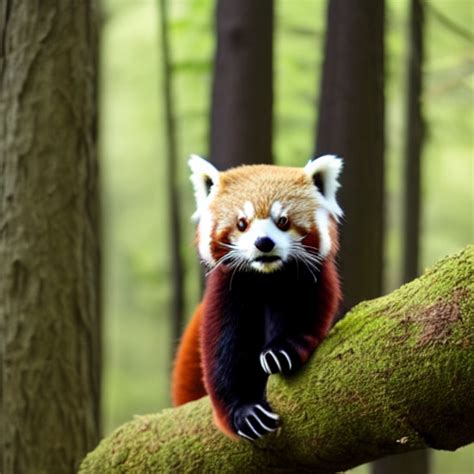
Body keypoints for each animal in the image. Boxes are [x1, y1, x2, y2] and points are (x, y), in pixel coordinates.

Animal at [172, 155, 342, 440]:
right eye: (242, 223)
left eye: (283, 221)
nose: (264, 242)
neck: (266, 277)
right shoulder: (226, 291)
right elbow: (223, 351)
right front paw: (244, 413)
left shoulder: (311, 280)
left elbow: (302, 316)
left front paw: (281, 351)